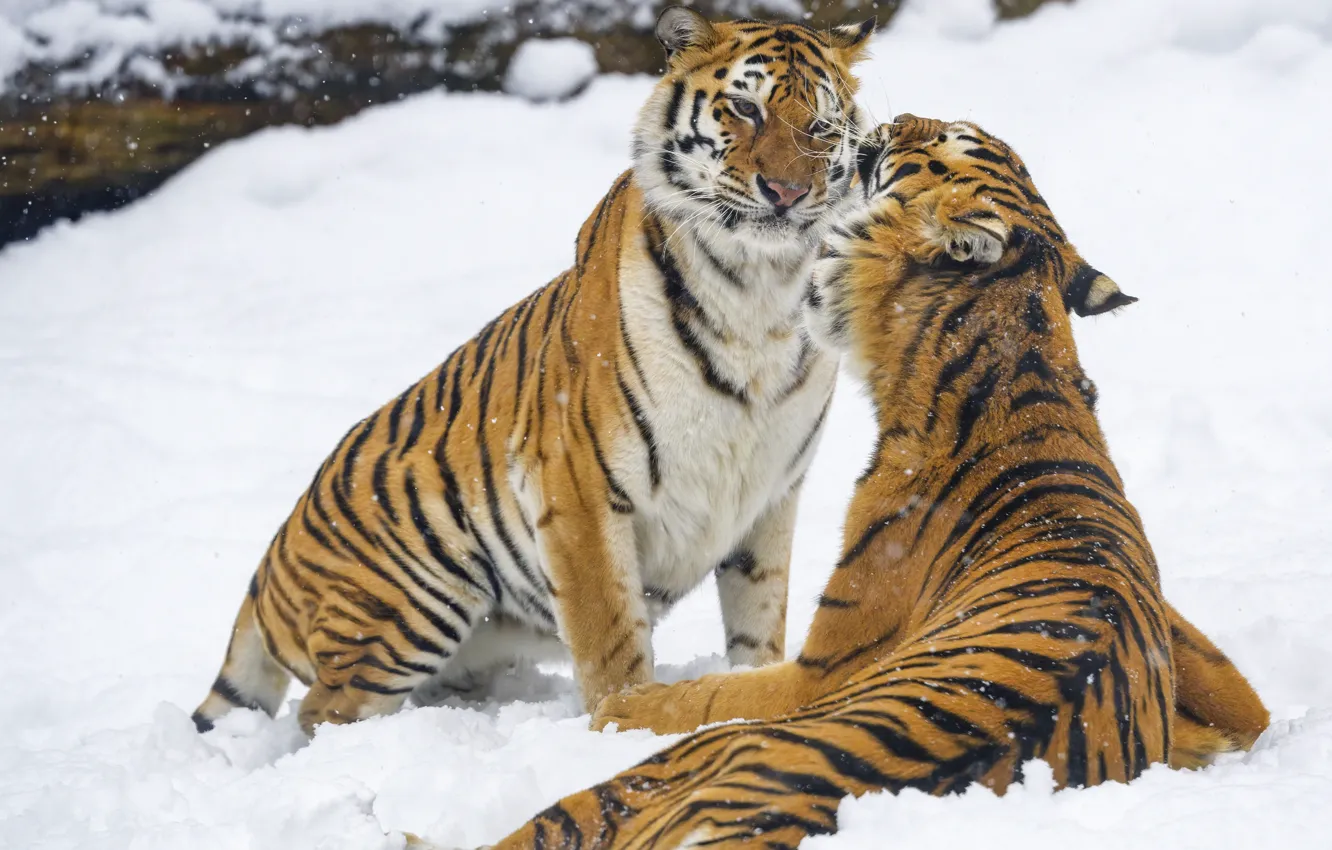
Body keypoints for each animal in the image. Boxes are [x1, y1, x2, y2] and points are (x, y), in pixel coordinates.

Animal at [191, 8, 879, 736]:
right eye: (746, 108)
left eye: (821, 126)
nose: (787, 193)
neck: (759, 291)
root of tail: (263, 574)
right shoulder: (577, 482)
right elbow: (610, 635)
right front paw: (624, 717)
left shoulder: (770, 495)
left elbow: (758, 621)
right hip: (413, 598)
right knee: (323, 712)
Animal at [481, 115, 1269, 849]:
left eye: (948, 141)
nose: (893, 118)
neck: (1024, 364)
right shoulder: (1213, 672)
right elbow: (1245, 711)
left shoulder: (822, 667)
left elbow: (706, 693)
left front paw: (622, 705)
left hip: (678, 766)